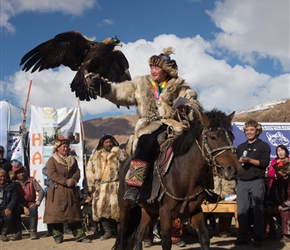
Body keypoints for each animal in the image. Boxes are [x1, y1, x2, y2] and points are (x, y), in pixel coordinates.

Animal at [112, 108, 241, 249]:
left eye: (232, 137)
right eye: (213, 137)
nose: (233, 169)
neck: (184, 174)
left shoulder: (195, 211)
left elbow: (204, 237)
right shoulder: (165, 212)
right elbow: (166, 242)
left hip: (148, 209)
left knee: (139, 234)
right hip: (125, 206)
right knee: (123, 233)